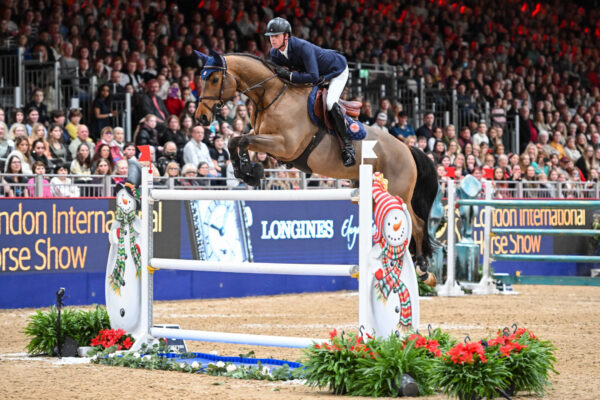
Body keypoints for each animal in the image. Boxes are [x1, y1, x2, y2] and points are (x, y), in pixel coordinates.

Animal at [195, 50, 438, 282]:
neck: (272, 97)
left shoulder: (285, 145)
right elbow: (235, 140)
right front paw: (246, 171)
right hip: (372, 195)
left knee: (416, 224)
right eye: (201, 79)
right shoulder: (265, 139)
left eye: (214, 79)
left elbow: (243, 140)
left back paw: (422, 267)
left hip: (398, 192)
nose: (201, 118)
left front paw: (249, 171)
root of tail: (407, 148)